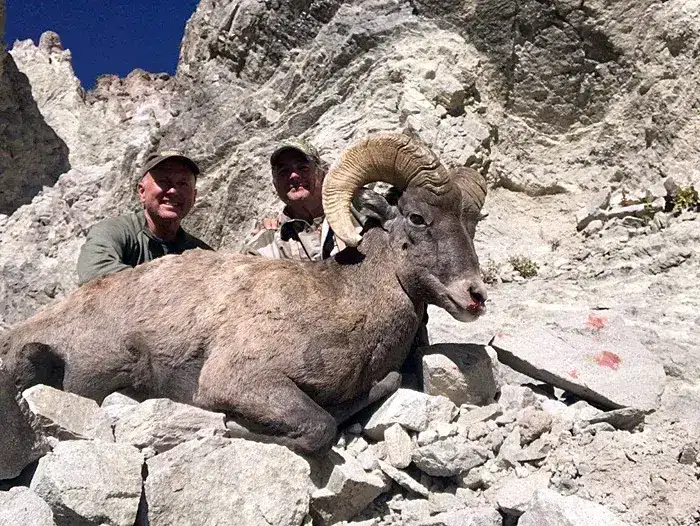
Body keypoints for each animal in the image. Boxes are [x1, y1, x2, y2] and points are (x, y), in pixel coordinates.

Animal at [0, 132, 488, 455]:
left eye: (472, 222)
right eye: (417, 217)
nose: (475, 295)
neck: (343, 299)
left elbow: (379, 387)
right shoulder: (242, 380)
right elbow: (319, 427)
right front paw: (230, 427)